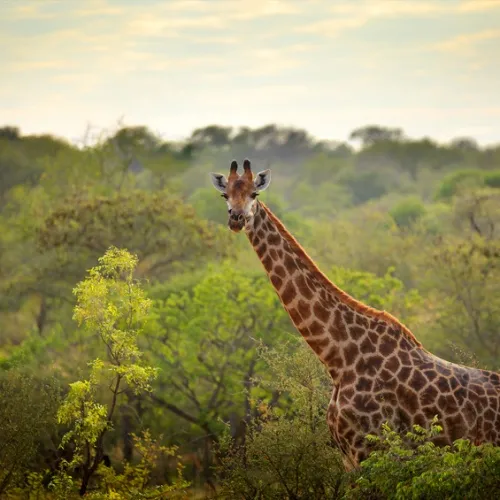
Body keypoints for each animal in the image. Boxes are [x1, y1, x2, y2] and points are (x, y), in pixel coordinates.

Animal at [209, 160, 500, 468]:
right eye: (225, 195)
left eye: (254, 194)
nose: (237, 218)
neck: (338, 358)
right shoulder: (349, 457)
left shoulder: (371, 448)